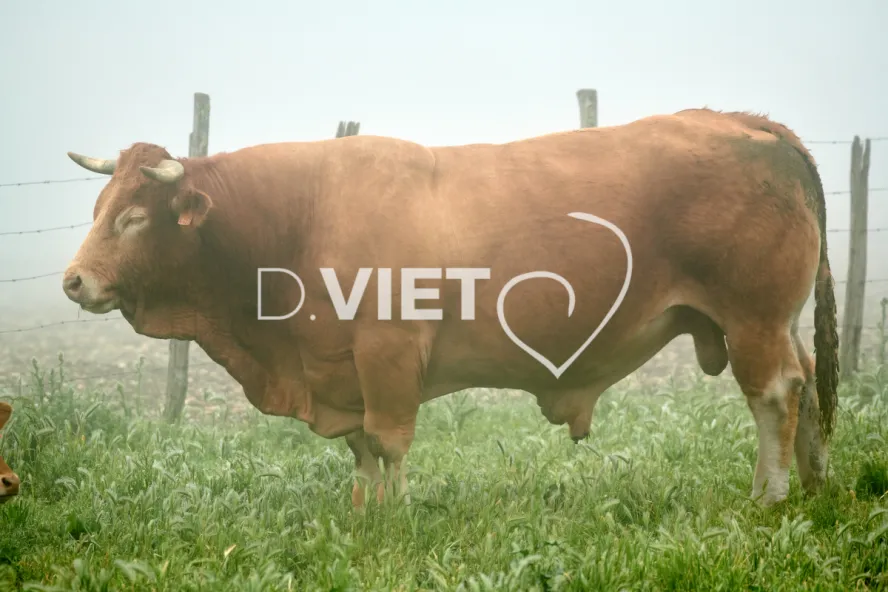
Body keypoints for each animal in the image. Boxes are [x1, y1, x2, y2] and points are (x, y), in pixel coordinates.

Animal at [61, 108, 839, 509]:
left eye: (133, 216)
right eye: (96, 207)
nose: (73, 282)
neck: (299, 217)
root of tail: (746, 123)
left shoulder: (387, 353)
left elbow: (388, 442)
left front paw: (397, 517)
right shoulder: (340, 368)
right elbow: (361, 449)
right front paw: (364, 512)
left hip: (751, 318)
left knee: (774, 394)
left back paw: (770, 495)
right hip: (771, 322)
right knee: (804, 385)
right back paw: (814, 480)